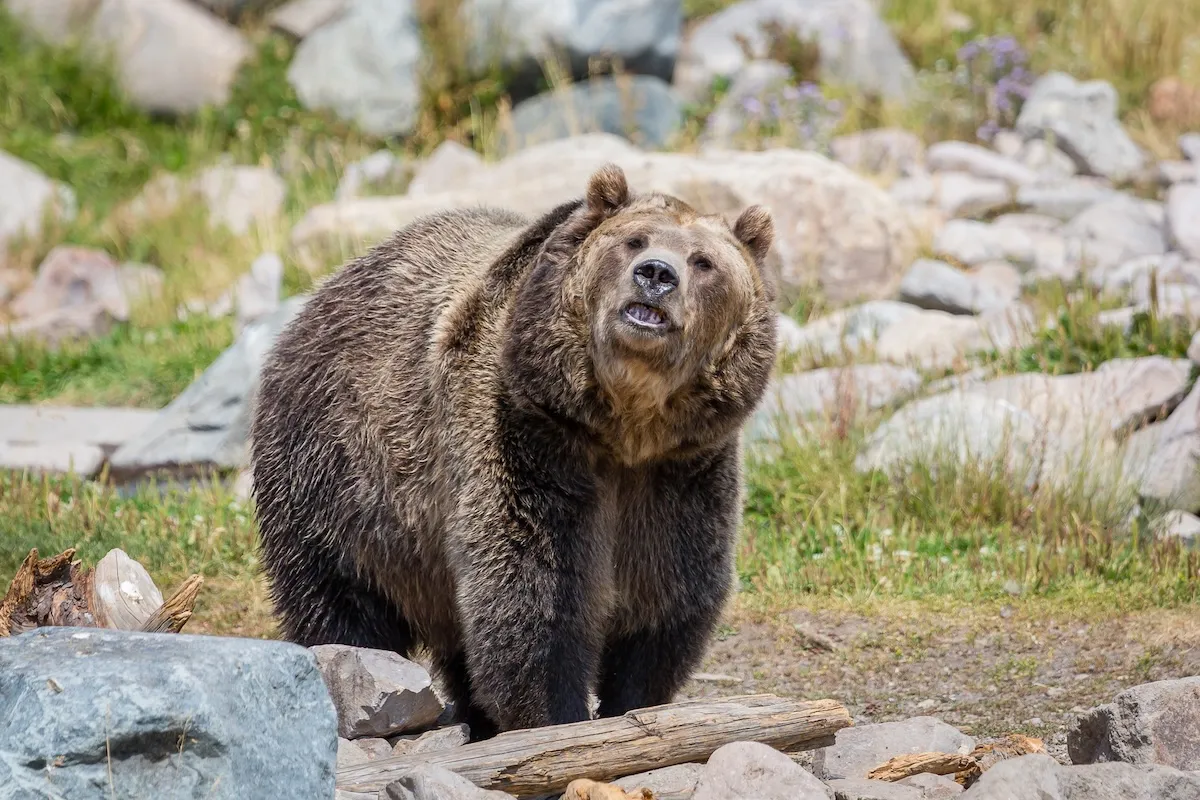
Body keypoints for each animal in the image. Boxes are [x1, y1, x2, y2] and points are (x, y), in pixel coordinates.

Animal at [249, 163, 778, 740]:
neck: (624, 428)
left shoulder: (682, 474)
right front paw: (556, 716)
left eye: (704, 262)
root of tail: (316, 298)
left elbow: (665, 597)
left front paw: (631, 704)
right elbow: (533, 597)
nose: (657, 274)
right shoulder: (523, 439)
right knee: (337, 599)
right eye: (634, 241)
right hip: (338, 475)